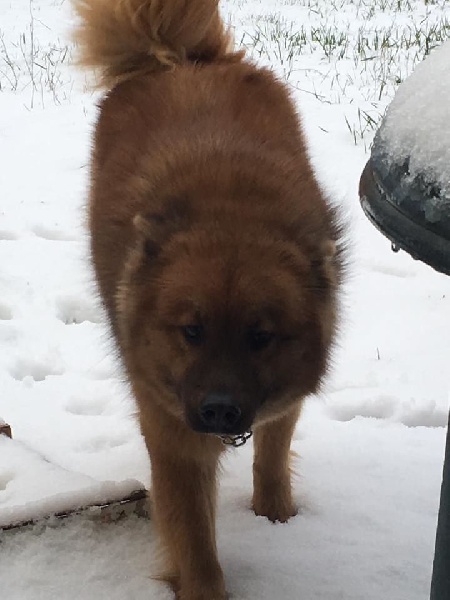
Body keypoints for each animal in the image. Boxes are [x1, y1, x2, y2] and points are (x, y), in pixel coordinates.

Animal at [74, 1, 345, 598]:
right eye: (191, 331)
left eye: (261, 336)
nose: (219, 409)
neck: (231, 210)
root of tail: (180, 60)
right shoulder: (172, 428)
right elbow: (194, 536)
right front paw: (204, 587)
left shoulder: (278, 397)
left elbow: (272, 453)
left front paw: (276, 519)